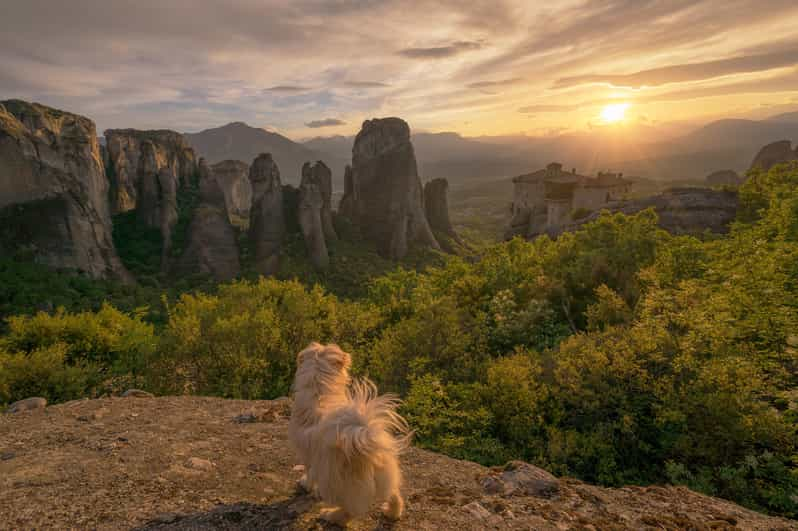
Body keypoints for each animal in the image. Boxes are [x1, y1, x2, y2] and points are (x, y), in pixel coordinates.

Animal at [290, 342, 412, 524]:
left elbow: (309, 472)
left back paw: (331, 515)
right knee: (394, 495)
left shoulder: (309, 455)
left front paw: (305, 483)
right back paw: (392, 513)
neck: (320, 393)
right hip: (386, 476)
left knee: (350, 511)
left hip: (337, 486)